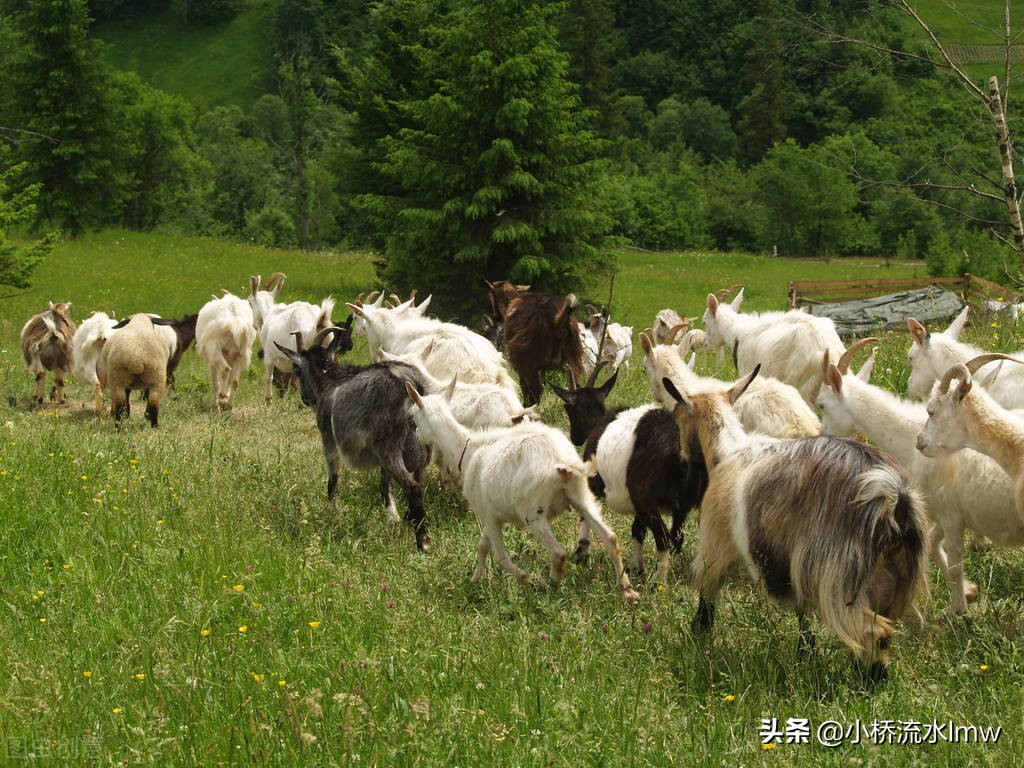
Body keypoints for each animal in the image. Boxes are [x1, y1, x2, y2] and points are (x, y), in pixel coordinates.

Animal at [274, 327, 430, 548]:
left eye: (296, 368)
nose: (304, 398)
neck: (329, 381)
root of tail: (410, 388)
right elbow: (385, 486)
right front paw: (393, 519)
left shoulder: (328, 437)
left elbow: (333, 480)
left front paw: (332, 513)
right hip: (420, 449)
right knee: (420, 484)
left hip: (388, 445)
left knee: (414, 488)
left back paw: (423, 542)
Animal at [407, 382, 638, 606]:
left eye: (413, 418)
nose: (417, 438)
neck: (468, 449)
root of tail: (562, 461)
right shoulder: (492, 515)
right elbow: (482, 546)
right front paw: (475, 579)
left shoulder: (489, 516)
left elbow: (500, 557)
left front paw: (528, 579)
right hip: (581, 496)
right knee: (611, 538)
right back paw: (628, 591)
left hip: (533, 511)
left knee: (558, 553)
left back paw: (549, 587)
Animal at [487, 280, 585, 409]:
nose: (495, 317)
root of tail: (557, 320)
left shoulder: (522, 365)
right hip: (574, 356)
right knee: (576, 387)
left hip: (528, 361)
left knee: (534, 391)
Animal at [815, 346, 1024, 618]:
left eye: (821, 404)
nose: (820, 434)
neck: (908, 437)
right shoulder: (942, 512)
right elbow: (933, 547)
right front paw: (969, 591)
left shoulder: (952, 516)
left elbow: (954, 564)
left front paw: (957, 609)